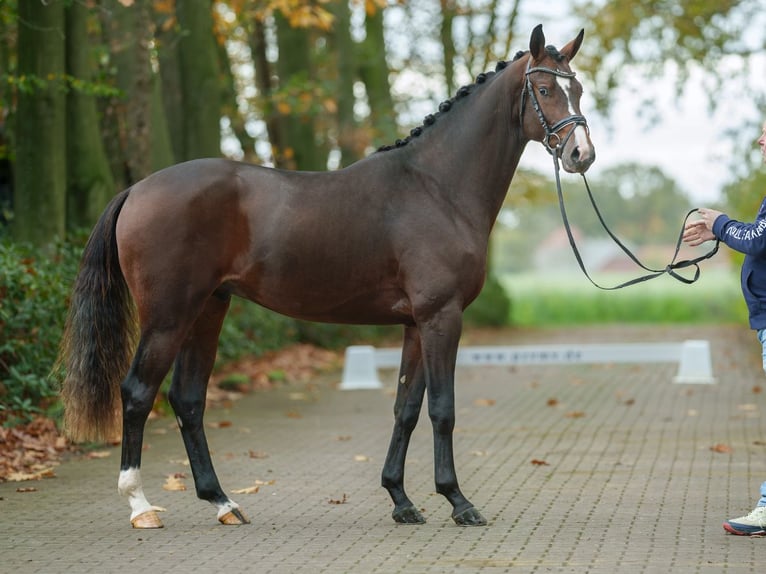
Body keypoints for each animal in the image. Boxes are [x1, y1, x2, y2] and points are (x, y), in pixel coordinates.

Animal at [58, 25, 600, 532]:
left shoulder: (415, 324)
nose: (582, 154)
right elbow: (442, 410)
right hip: (169, 315)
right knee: (137, 393)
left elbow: (406, 408)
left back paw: (224, 503)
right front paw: (458, 502)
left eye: (578, 89)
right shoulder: (440, 317)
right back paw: (141, 506)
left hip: (209, 308)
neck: (436, 187)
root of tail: (137, 189)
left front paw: (401, 500)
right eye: (545, 89)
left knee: (187, 399)